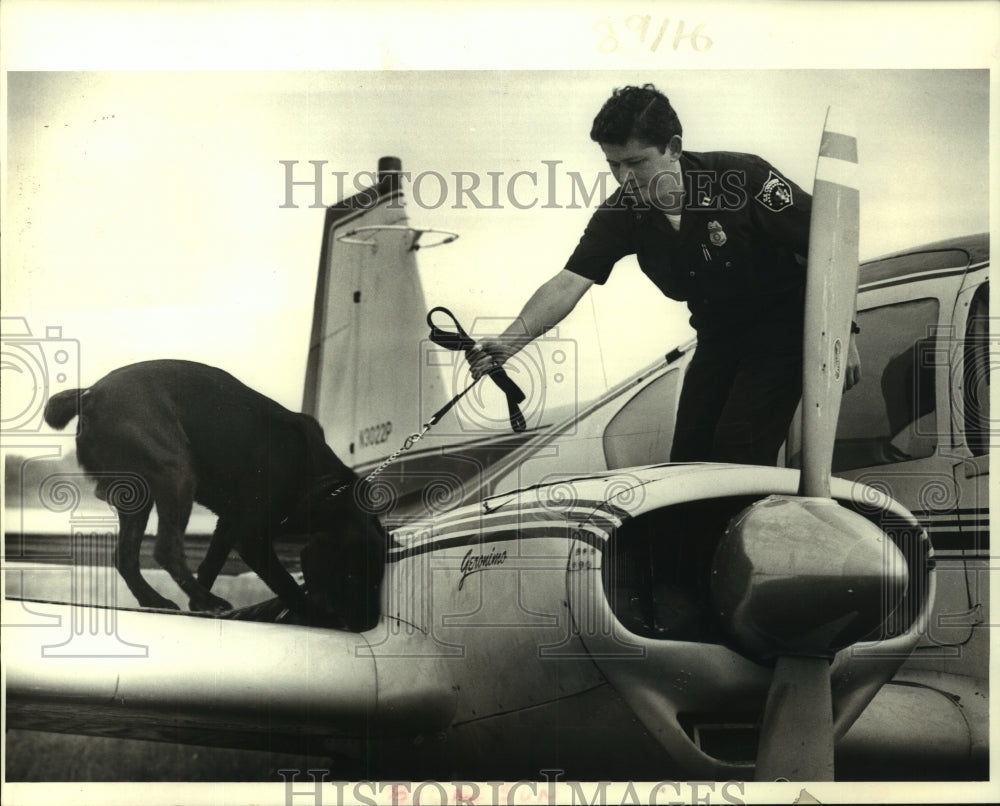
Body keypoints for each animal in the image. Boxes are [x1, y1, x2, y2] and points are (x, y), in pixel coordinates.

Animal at [42, 360, 382, 632]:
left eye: (378, 578)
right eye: (350, 575)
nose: (367, 624)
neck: (324, 486)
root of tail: (89, 394)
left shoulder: (229, 522)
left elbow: (210, 563)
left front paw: (196, 605)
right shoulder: (251, 538)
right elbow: (286, 584)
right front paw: (317, 616)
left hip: (141, 495)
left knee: (124, 557)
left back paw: (160, 599)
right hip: (176, 472)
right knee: (166, 550)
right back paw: (209, 600)